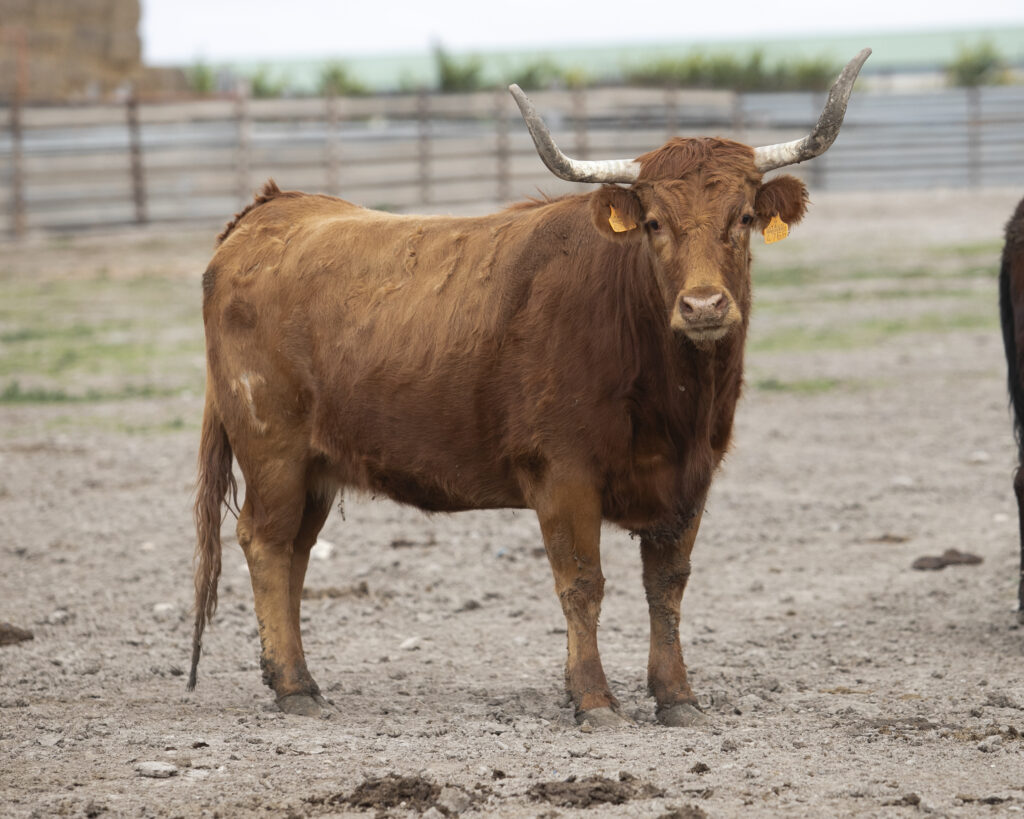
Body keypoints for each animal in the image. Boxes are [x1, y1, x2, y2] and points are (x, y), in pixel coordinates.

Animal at [188, 50, 870, 727]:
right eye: (654, 222)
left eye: (745, 218)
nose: (704, 306)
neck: (672, 397)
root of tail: (271, 210)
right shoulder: (563, 473)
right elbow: (582, 584)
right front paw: (593, 698)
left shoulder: (690, 480)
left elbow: (667, 586)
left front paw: (677, 696)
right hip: (273, 452)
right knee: (267, 544)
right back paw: (293, 687)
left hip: (316, 468)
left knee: (297, 553)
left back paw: (299, 678)